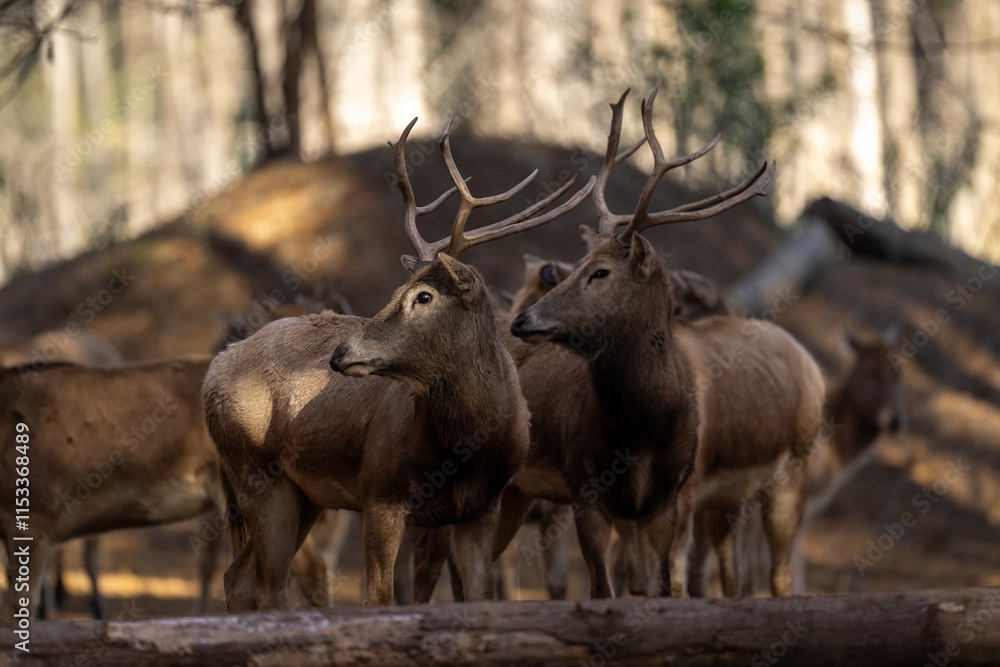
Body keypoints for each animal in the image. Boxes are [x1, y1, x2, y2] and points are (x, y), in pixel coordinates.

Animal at [202, 116, 592, 612]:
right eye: (394, 292)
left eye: (423, 296)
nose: (340, 354)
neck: (464, 446)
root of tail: (214, 367)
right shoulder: (380, 493)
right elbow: (380, 600)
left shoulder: (483, 507)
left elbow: (479, 595)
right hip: (254, 472)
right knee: (268, 585)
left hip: (303, 493)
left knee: (240, 577)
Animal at [508, 90, 828, 600]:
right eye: (580, 263)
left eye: (601, 272)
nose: (522, 321)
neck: (641, 430)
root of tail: (812, 364)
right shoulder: (597, 496)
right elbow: (620, 588)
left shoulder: (679, 493)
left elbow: (667, 586)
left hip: (793, 468)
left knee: (775, 575)